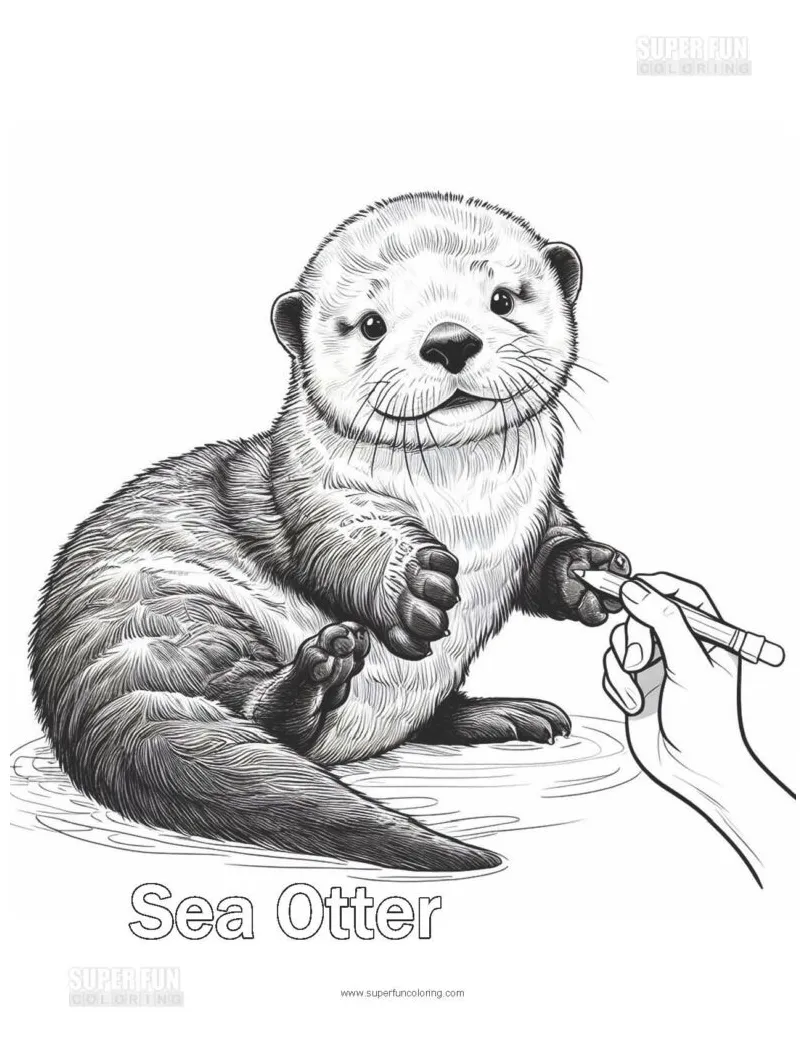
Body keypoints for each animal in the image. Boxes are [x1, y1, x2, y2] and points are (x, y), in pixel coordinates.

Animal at [30, 192, 630, 872]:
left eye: (503, 297)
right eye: (371, 323)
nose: (449, 340)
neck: (468, 508)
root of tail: (74, 688)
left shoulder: (541, 504)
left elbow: (550, 549)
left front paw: (585, 574)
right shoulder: (311, 490)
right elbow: (341, 543)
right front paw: (413, 584)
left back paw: (508, 715)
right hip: (173, 613)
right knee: (250, 702)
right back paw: (316, 681)